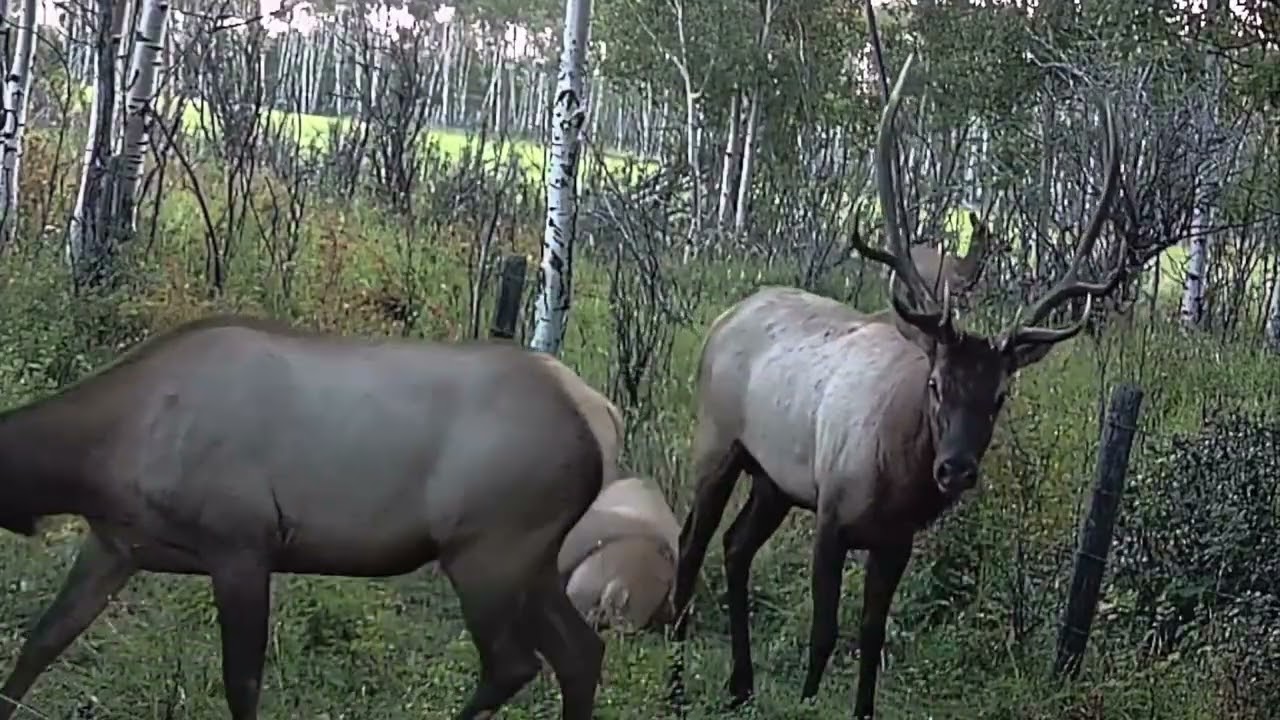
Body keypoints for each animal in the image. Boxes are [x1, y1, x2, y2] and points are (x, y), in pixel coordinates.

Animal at [0, 315, 608, 720]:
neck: (99, 460)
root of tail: (601, 419)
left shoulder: (242, 544)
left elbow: (242, 681)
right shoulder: (117, 546)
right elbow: (43, 640)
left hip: (486, 552)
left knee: (514, 663)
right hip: (532, 559)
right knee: (580, 652)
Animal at [670, 53, 1126, 719]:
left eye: (1000, 396)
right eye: (935, 383)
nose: (955, 469)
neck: (897, 476)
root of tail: (725, 317)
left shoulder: (896, 542)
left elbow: (871, 635)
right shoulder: (831, 514)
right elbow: (824, 631)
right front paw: (807, 700)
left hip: (775, 480)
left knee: (734, 547)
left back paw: (741, 683)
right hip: (718, 441)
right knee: (691, 543)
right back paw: (677, 681)